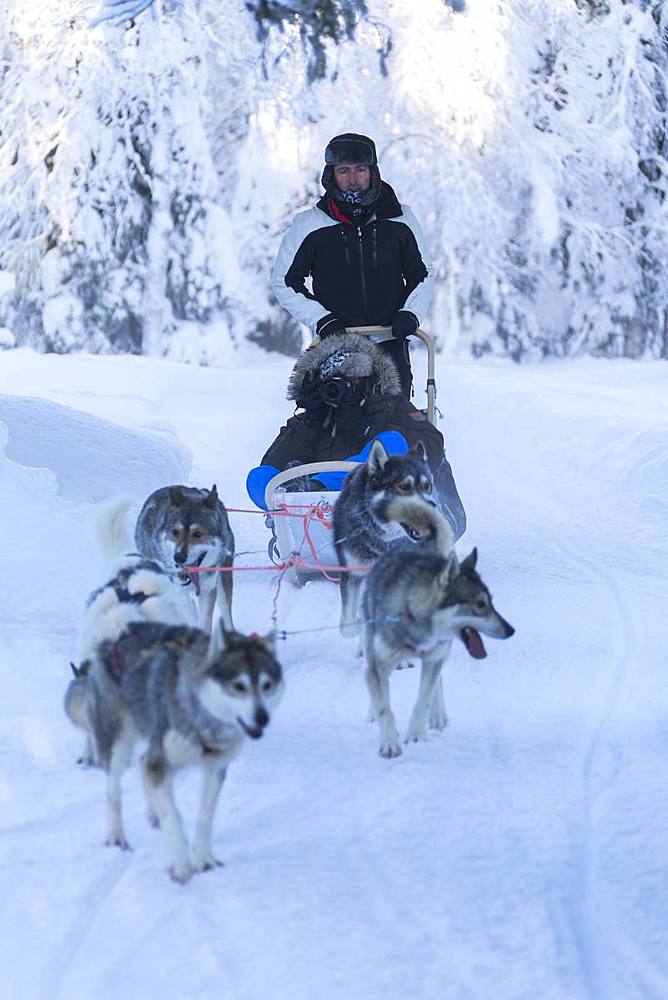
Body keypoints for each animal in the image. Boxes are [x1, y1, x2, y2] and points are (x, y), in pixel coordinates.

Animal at [85, 620, 282, 888]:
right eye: (239, 686)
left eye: (266, 685)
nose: (263, 717)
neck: (201, 719)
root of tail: (120, 632)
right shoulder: (161, 762)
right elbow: (174, 816)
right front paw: (180, 865)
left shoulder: (214, 767)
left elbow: (205, 817)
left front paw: (204, 860)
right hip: (119, 742)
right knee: (113, 788)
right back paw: (117, 835)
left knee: (143, 763)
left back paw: (153, 814)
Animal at [332, 440, 434, 640]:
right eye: (404, 486)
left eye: (427, 486)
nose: (432, 506)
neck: (384, 541)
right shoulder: (351, 572)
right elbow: (348, 624)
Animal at [360, 500, 512, 756]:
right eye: (480, 604)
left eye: (491, 602)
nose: (510, 630)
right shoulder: (379, 662)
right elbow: (384, 707)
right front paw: (390, 743)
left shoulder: (434, 658)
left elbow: (424, 698)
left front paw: (417, 734)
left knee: (436, 685)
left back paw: (438, 716)